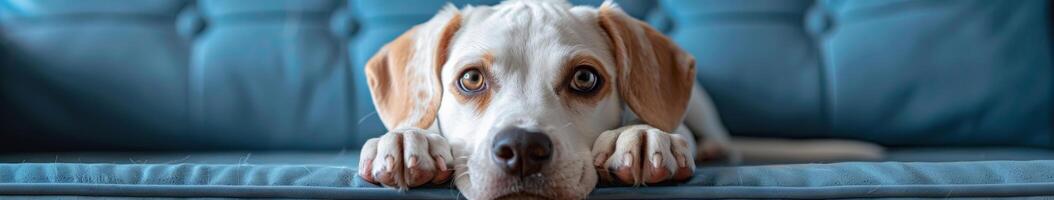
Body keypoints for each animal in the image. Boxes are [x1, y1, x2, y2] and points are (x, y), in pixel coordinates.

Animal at [354, 0, 881, 198]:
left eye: (586, 78)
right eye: (470, 79)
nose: (521, 148)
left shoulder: (678, 119)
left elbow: (663, 129)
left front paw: (643, 137)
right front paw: (406, 139)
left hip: (701, 100)